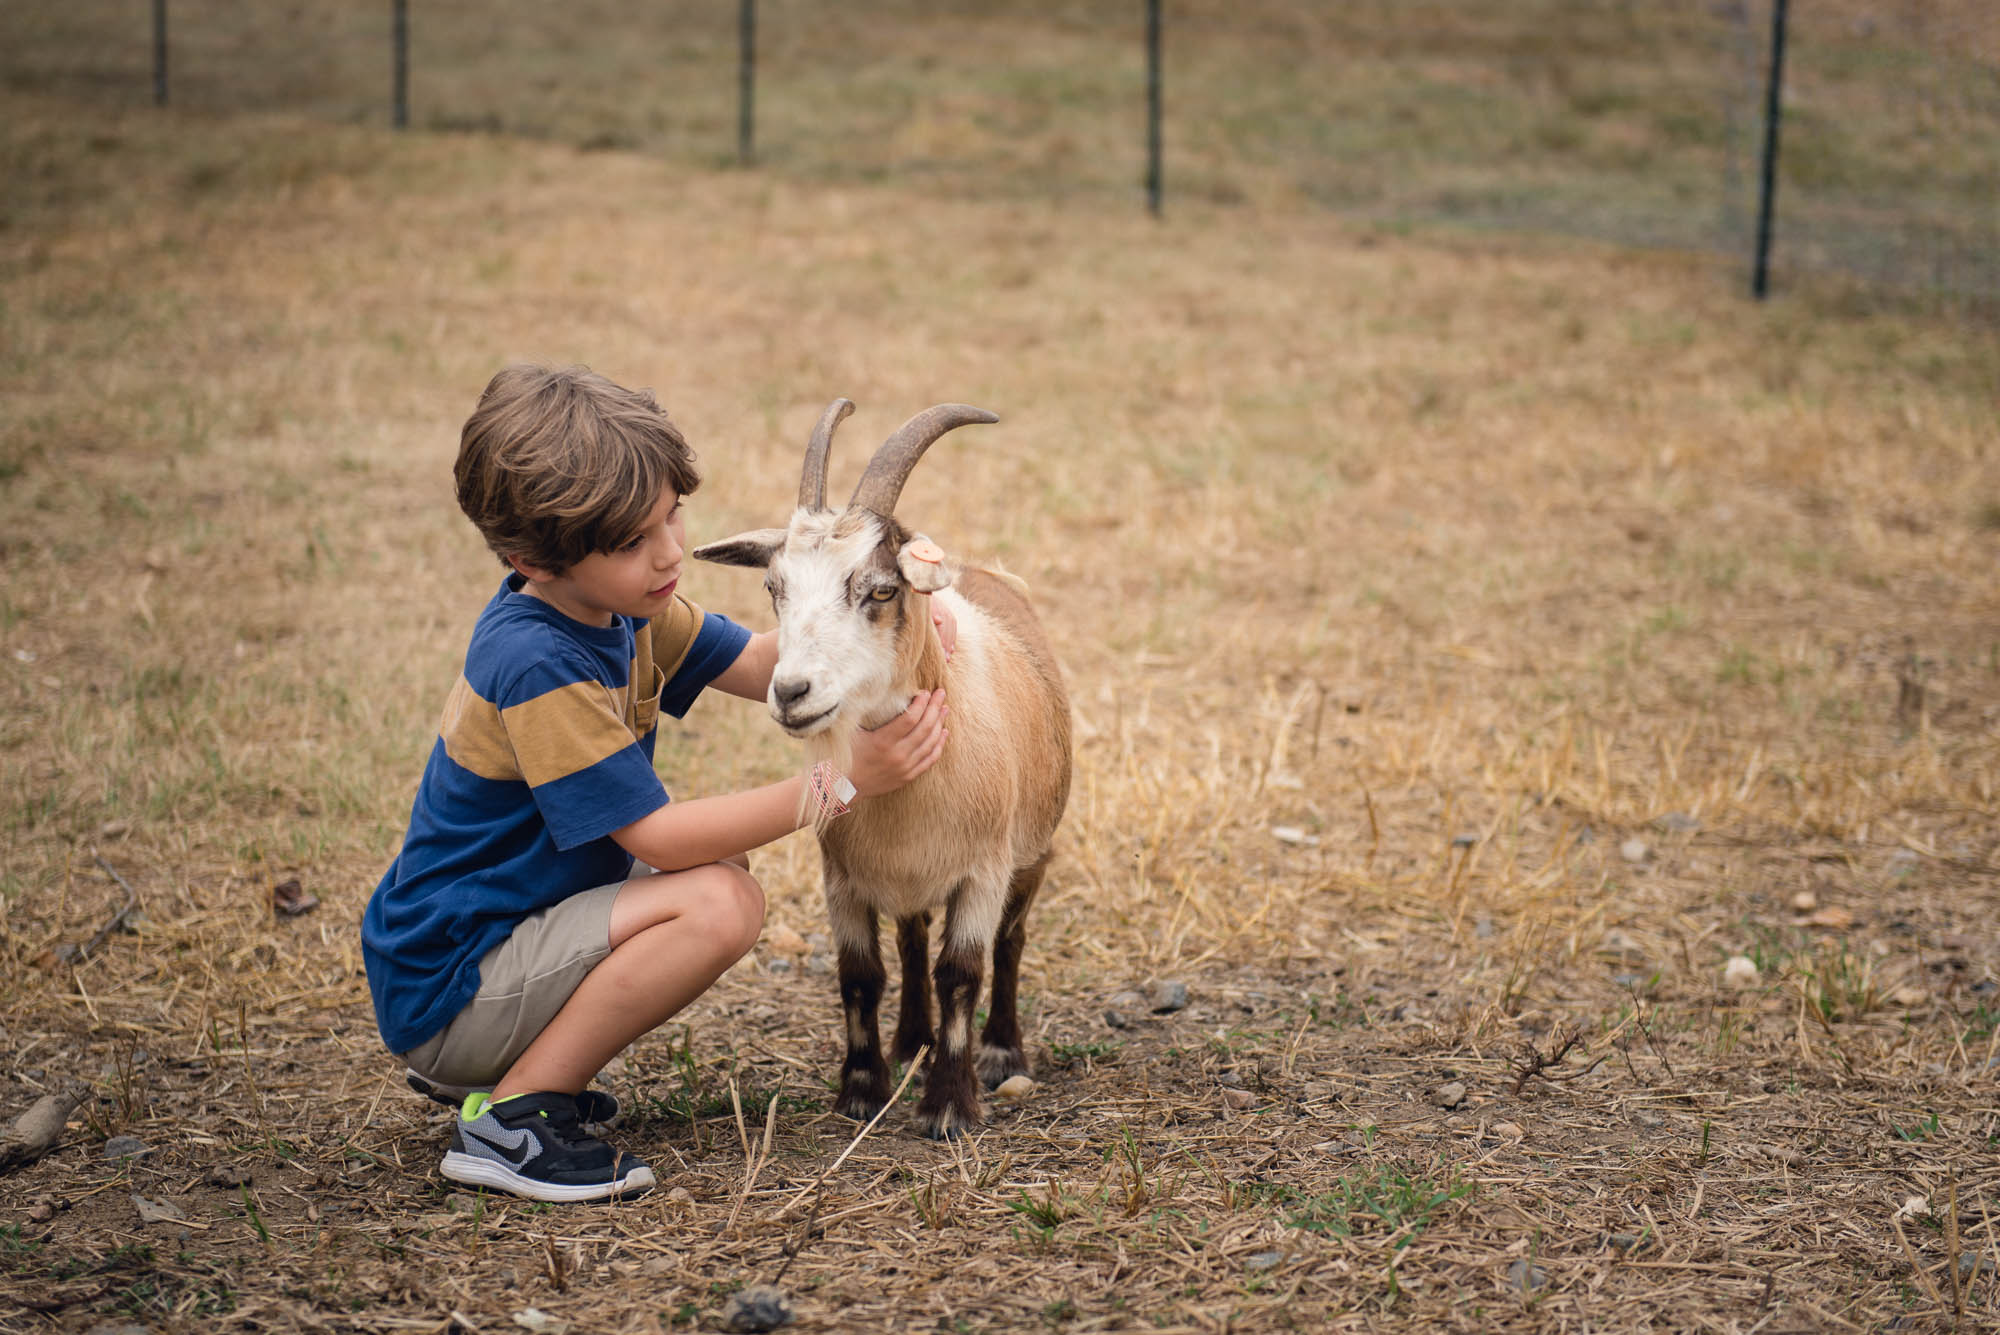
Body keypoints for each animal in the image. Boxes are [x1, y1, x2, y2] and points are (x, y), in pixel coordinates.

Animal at [696, 399, 1072, 1135]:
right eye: (774, 586)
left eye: (880, 590)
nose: (792, 692)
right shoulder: (843, 878)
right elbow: (861, 974)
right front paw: (863, 1089)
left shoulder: (982, 872)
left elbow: (963, 972)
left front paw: (949, 1106)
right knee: (911, 938)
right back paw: (910, 1042)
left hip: (1031, 851)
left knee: (1010, 942)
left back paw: (1000, 1052)